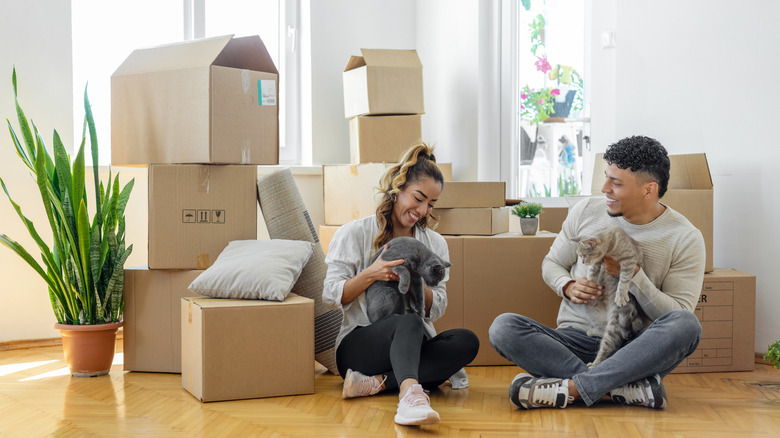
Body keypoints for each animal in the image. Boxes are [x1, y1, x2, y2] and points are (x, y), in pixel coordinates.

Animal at [572, 228, 644, 368]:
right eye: (580, 256)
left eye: (584, 255)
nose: (583, 262)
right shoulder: (596, 264)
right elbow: (591, 276)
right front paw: (590, 288)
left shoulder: (629, 260)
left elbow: (624, 280)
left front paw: (620, 296)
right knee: (604, 333)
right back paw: (592, 330)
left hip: (615, 323)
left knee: (607, 346)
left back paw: (594, 364)